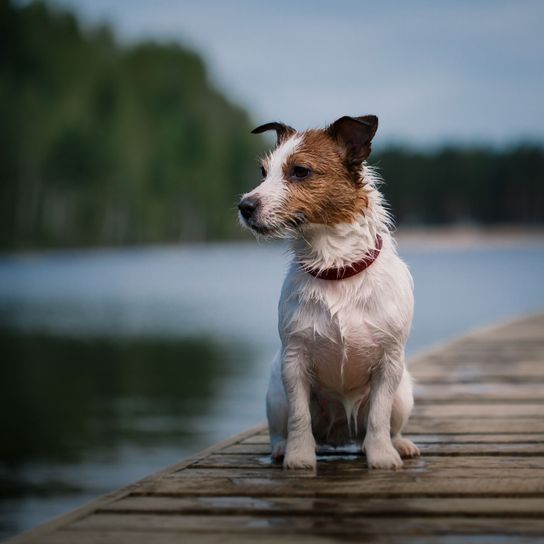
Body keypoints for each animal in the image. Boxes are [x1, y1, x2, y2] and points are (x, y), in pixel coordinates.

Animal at [236, 116, 418, 472]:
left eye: (300, 171)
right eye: (263, 172)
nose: (244, 206)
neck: (336, 268)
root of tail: (340, 436)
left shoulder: (389, 364)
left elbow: (378, 417)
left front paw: (382, 455)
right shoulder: (294, 362)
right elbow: (299, 418)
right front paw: (299, 457)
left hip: (403, 392)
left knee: (388, 423)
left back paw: (399, 443)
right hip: (275, 395)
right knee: (280, 429)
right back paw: (282, 448)